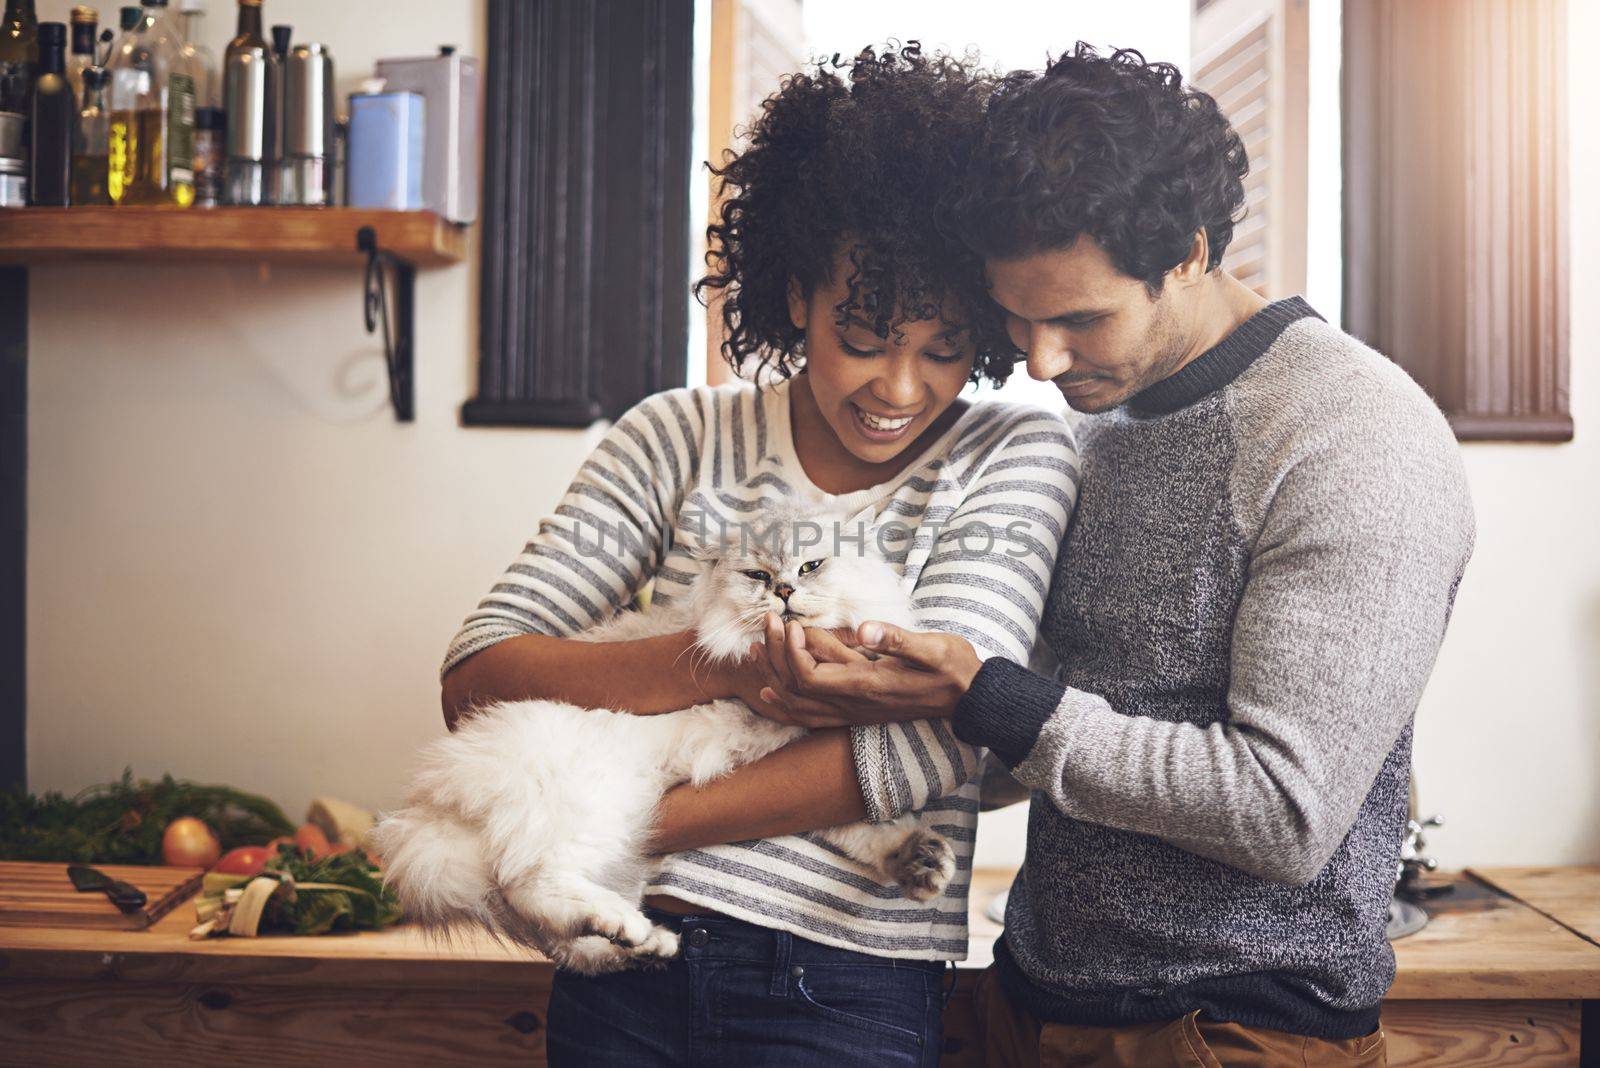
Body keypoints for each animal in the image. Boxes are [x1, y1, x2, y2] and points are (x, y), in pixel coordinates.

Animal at [368, 502, 953, 978]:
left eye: (810, 566)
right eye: (758, 575)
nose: (784, 591)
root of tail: (429, 808)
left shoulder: (798, 760)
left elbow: (861, 829)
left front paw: (918, 862)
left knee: (569, 945)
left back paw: (646, 943)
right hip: (596, 805)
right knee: (532, 887)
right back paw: (625, 926)